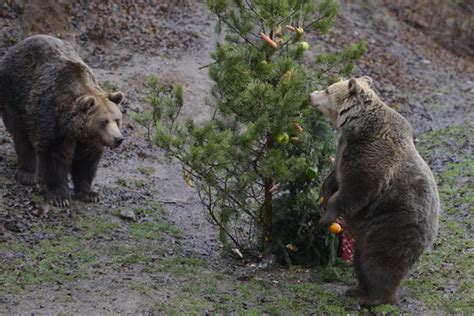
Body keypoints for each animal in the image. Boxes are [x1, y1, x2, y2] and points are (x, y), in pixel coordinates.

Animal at [0, 35, 124, 207]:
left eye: (117, 119)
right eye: (104, 121)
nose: (118, 139)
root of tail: (17, 45)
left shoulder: (88, 139)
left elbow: (86, 161)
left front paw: (89, 193)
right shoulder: (51, 118)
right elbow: (54, 156)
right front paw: (60, 196)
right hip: (14, 95)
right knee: (21, 135)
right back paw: (28, 175)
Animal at [310, 75, 438, 304]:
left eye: (326, 90)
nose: (310, 95)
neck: (358, 128)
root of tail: (431, 234)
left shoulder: (370, 155)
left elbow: (356, 190)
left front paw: (326, 217)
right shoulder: (344, 148)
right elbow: (334, 177)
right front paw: (323, 195)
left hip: (392, 226)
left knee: (379, 261)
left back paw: (375, 297)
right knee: (361, 258)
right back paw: (357, 289)